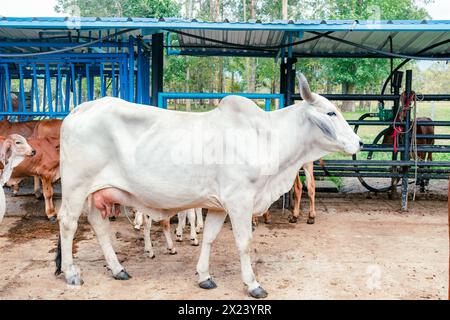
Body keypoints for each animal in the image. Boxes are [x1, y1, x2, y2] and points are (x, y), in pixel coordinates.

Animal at [54, 74, 362, 298]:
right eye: (331, 113)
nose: (359, 143)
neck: (264, 136)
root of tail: (81, 108)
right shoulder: (239, 201)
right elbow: (244, 243)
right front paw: (253, 284)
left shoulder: (218, 206)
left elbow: (209, 238)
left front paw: (204, 276)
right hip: (76, 187)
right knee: (68, 223)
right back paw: (72, 273)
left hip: (97, 192)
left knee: (99, 224)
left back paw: (118, 269)